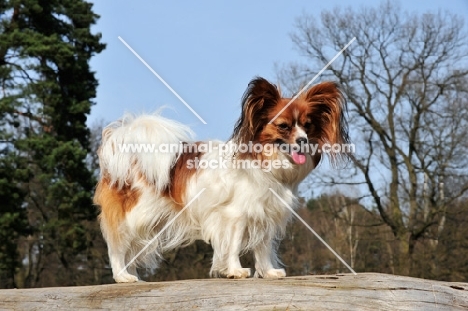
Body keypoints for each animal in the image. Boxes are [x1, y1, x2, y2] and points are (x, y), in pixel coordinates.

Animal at [93, 77, 348, 282]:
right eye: (283, 127)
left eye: (308, 126)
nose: (303, 140)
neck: (265, 162)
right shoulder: (236, 215)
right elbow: (233, 245)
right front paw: (235, 271)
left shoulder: (265, 213)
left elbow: (263, 247)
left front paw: (268, 272)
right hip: (134, 217)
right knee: (117, 247)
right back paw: (122, 276)